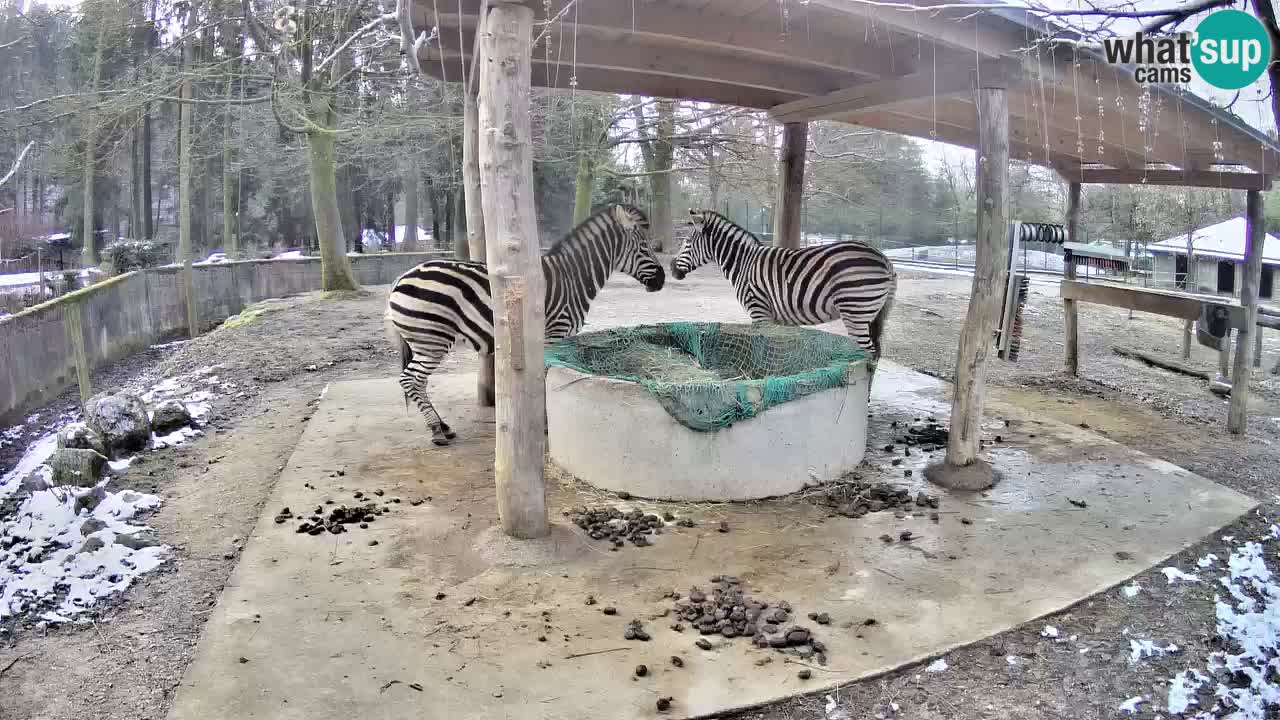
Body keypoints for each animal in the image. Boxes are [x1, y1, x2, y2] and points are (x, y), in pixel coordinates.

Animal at [384, 202, 665, 445]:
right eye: (644, 247)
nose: (662, 280)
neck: (572, 279)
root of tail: (400, 279)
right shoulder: (554, 335)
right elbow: (545, 379)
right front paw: (545, 424)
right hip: (431, 339)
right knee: (410, 380)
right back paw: (436, 430)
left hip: (423, 341)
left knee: (417, 382)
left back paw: (443, 426)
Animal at [670, 207, 901, 386]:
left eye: (687, 242)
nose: (672, 270)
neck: (744, 263)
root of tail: (884, 259)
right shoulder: (775, 318)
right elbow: (779, 347)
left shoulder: (759, 310)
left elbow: (762, 348)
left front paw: (762, 375)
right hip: (871, 314)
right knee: (876, 352)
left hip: (856, 310)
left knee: (869, 352)